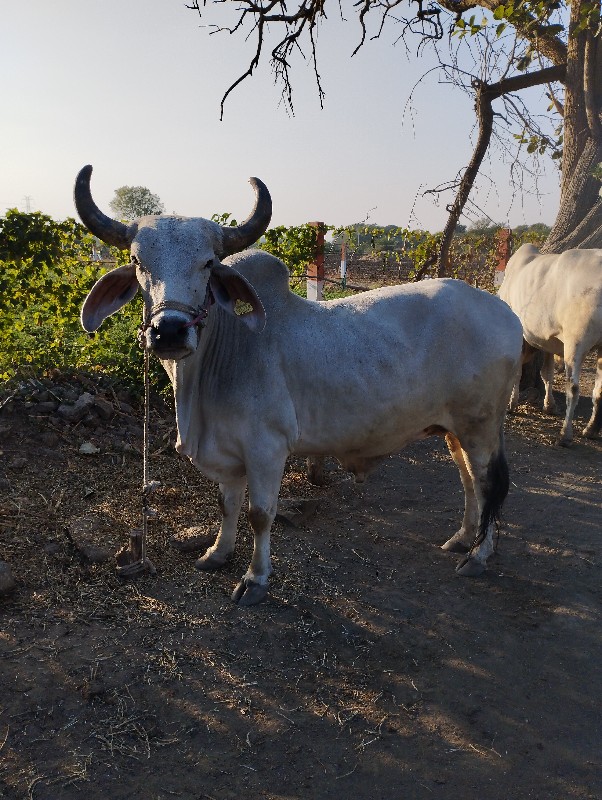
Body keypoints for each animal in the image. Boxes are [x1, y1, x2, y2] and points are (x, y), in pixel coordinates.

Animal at [75, 169, 524, 608]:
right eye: (137, 261)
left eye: (207, 263)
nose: (168, 331)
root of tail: (506, 312)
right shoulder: (228, 452)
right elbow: (226, 504)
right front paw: (217, 553)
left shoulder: (267, 448)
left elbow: (259, 514)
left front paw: (255, 579)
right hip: (454, 429)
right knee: (469, 480)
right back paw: (463, 539)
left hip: (480, 425)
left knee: (489, 482)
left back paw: (478, 556)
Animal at [496, 241, 600, 446]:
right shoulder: (550, 343)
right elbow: (547, 374)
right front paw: (549, 405)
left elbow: (518, 372)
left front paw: (512, 404)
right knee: (598, 390)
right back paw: (591, 429)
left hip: (576, 341)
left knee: (573, 387)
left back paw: (565, 434)